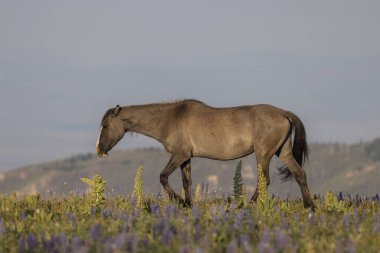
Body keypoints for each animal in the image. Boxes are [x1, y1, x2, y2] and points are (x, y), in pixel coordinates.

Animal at [96, 100, 316, 211]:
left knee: (265, 180)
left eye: (105, 125)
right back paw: (309, 206)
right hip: (283, 151)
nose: (99, 149)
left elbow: (163, 176)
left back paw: (248, 205)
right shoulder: (186, 158)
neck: (169, 119)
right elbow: (187, 182)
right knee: (300, 174)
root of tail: (283, 113)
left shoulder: (179, 154)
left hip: (264, 154)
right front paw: (188, 204)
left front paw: (178, 201)